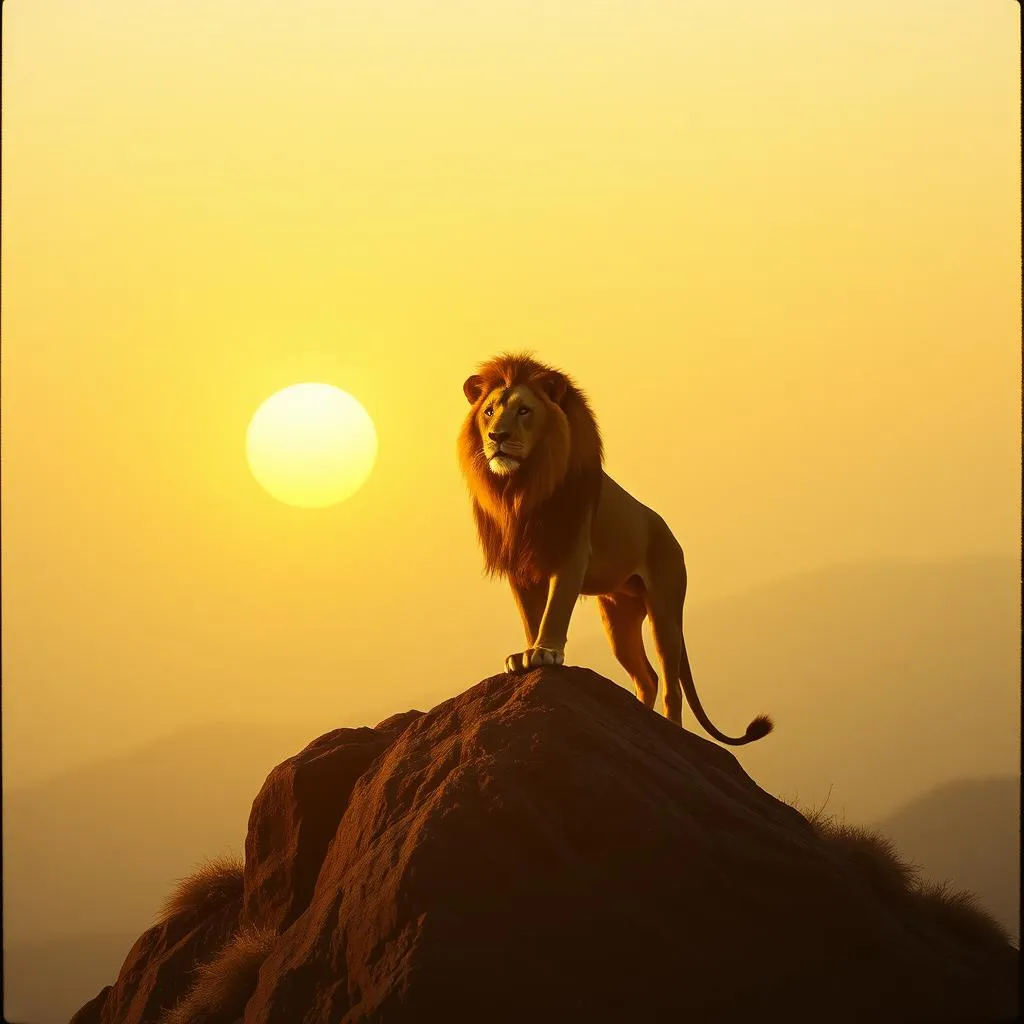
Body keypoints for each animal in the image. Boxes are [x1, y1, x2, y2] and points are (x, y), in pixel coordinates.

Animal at [457, 352, 772, 745]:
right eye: (489, 412)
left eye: (524, 411)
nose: (497, 436)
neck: (521, 488)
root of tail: (669, 533)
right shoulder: (521, 565)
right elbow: (531, 615)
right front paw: (527, 654)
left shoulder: (571, 553)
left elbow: (555, 609)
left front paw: (545, 652)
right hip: (619, 618)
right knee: (647, 677)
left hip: (665, 610)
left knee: (671, 683)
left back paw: (671, 729)